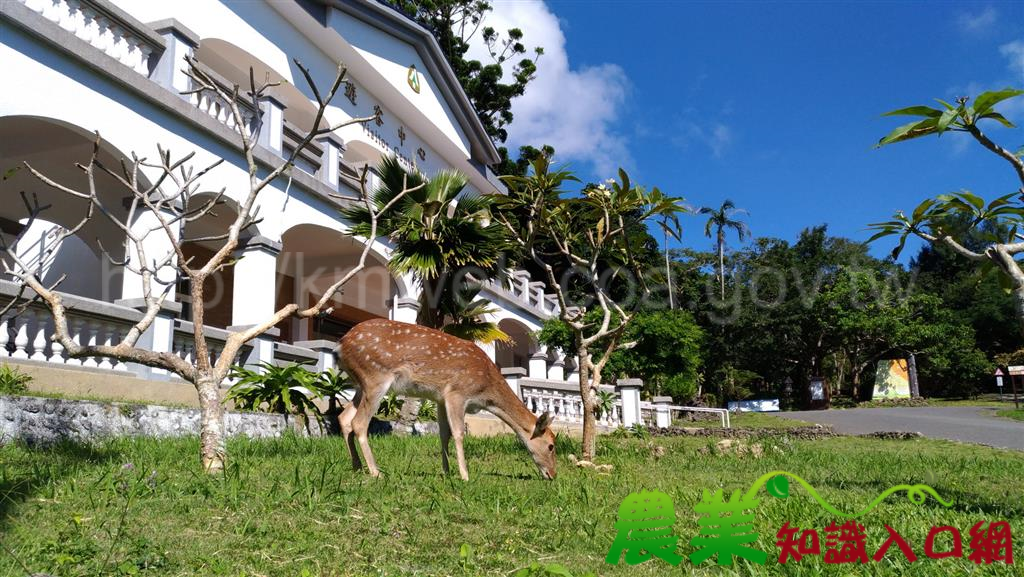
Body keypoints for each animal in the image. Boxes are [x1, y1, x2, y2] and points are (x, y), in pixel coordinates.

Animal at [339, 317, 557, 481]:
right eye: (551, 445)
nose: (553, 475)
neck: (486, 391)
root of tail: (341, 344)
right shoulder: (457, 393)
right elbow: (459, 433)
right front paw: (465, 475)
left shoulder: (440, 399)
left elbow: (444, 434)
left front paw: (446, 472)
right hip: (376, 377)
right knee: (359, 422)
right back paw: (375, 472)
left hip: (360, 385)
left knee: (344, 417)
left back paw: (357, 466)